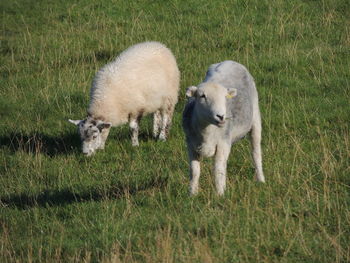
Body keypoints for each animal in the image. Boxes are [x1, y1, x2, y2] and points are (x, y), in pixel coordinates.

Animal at [183, 59, 266, 196]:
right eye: (202, 96)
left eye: (225, 97)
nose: (221, 116)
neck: (206, 132)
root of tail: (230, 61)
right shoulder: (191, 144)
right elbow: (194, 171)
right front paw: (192, 194)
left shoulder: (223, 144)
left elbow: (218, 170)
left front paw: (220, 194)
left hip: (255, 117)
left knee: (256, 152)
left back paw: (261, 180)